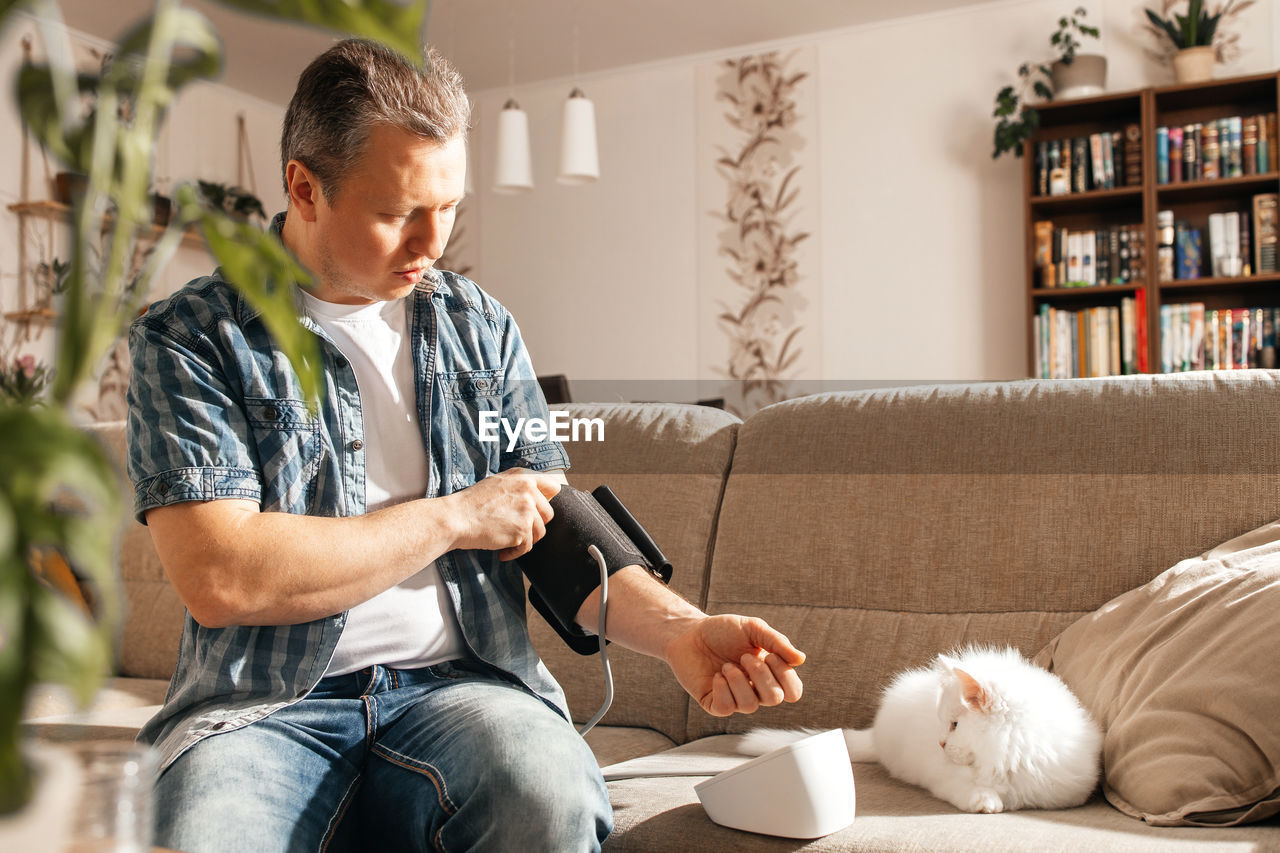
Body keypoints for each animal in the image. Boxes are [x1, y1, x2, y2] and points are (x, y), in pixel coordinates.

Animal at [742, 645, 1100, 809]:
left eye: (954, 725)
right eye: (945, 725)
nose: (940, 744)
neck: (1007, 751)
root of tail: (876, 734)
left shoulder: (1066, 790)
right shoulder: (943, 777)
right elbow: (967, 788)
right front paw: (986, 802)